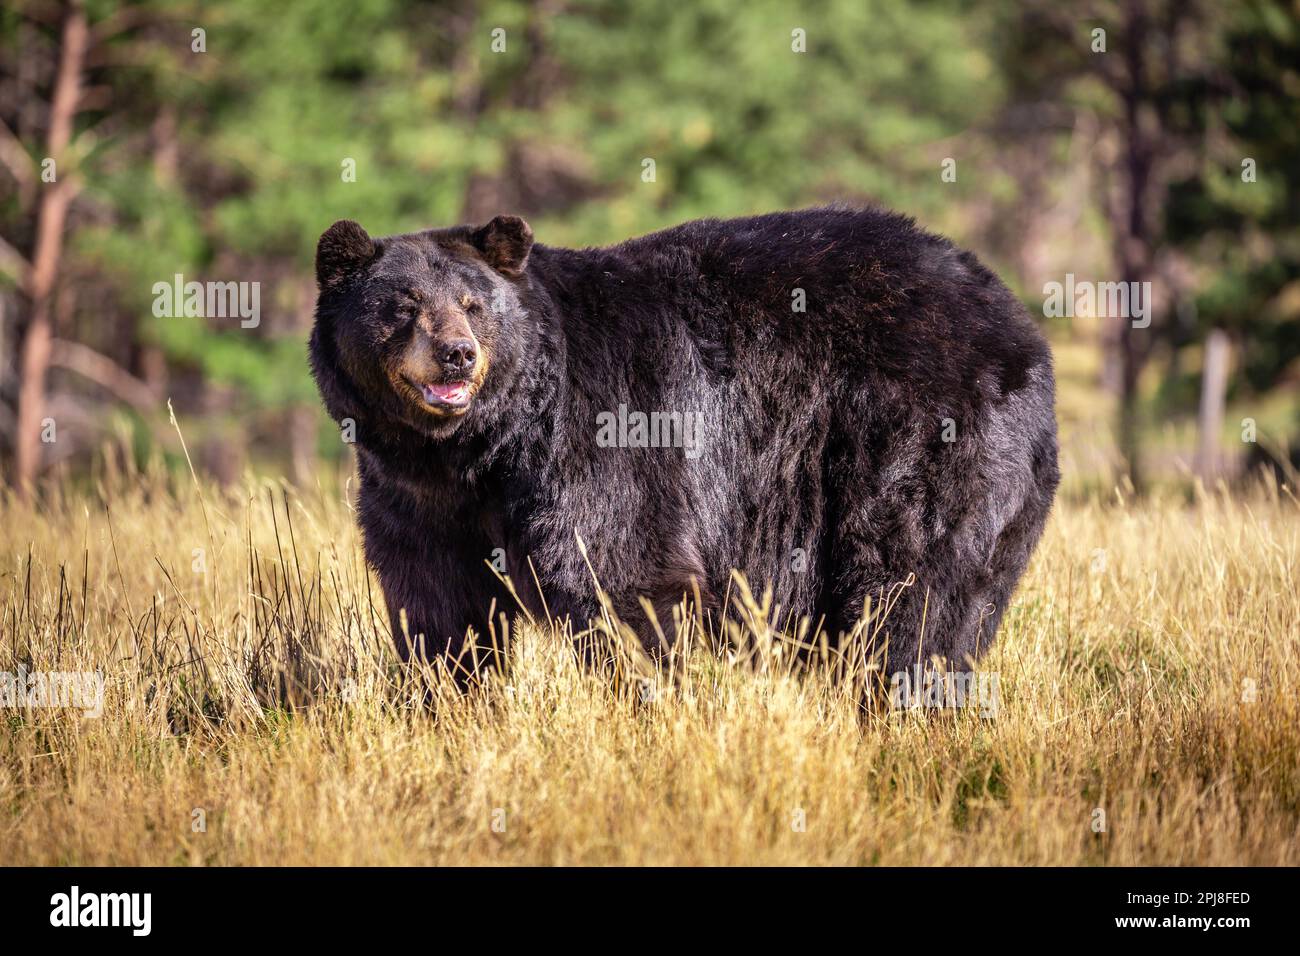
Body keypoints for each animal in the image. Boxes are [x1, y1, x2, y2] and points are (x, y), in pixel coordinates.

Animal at [309, 205, 1060, 676]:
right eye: (403, 306)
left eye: (474, 303)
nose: (458, 356)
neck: (482, 448)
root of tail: (1019, 323)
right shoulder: (412, 495)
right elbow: (437, 605)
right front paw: (448, 695)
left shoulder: (603, 438)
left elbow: (625, 573)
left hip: (922, 441)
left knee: (913, 592)